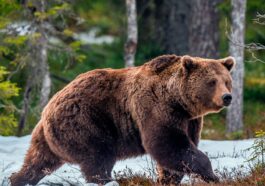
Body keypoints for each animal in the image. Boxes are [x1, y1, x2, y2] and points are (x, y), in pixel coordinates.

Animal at [9, 54, 235, 185]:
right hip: (85, 122)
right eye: (211, 82)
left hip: (47, 137)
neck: (178, 100)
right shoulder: (156, 110)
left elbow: (179, 150)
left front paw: (168, 178)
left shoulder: (190, 120)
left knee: (38, 161)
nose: (227, 97)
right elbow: (168, 144)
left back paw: (18, 179)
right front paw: (212, 174)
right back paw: (105, 180)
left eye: (227, 81)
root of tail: (49, 105)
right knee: (98, 157)